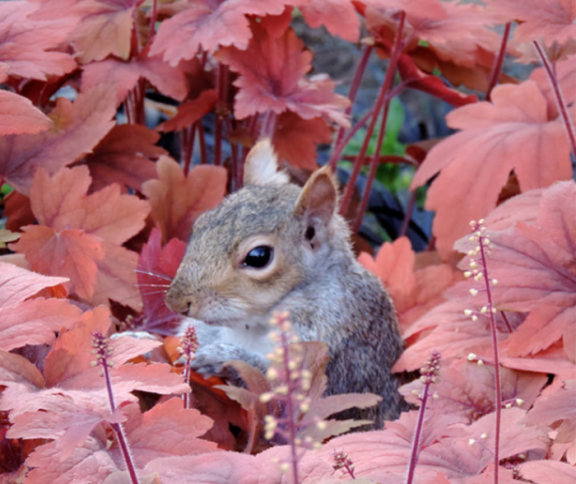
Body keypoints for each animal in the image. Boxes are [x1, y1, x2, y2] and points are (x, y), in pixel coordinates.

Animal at [164, 138, 402, 426]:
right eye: (199, 224)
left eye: (258, 256)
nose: (176, 302)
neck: (253, 325)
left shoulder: (336, 349)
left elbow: (285, 390)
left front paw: (222, 356)